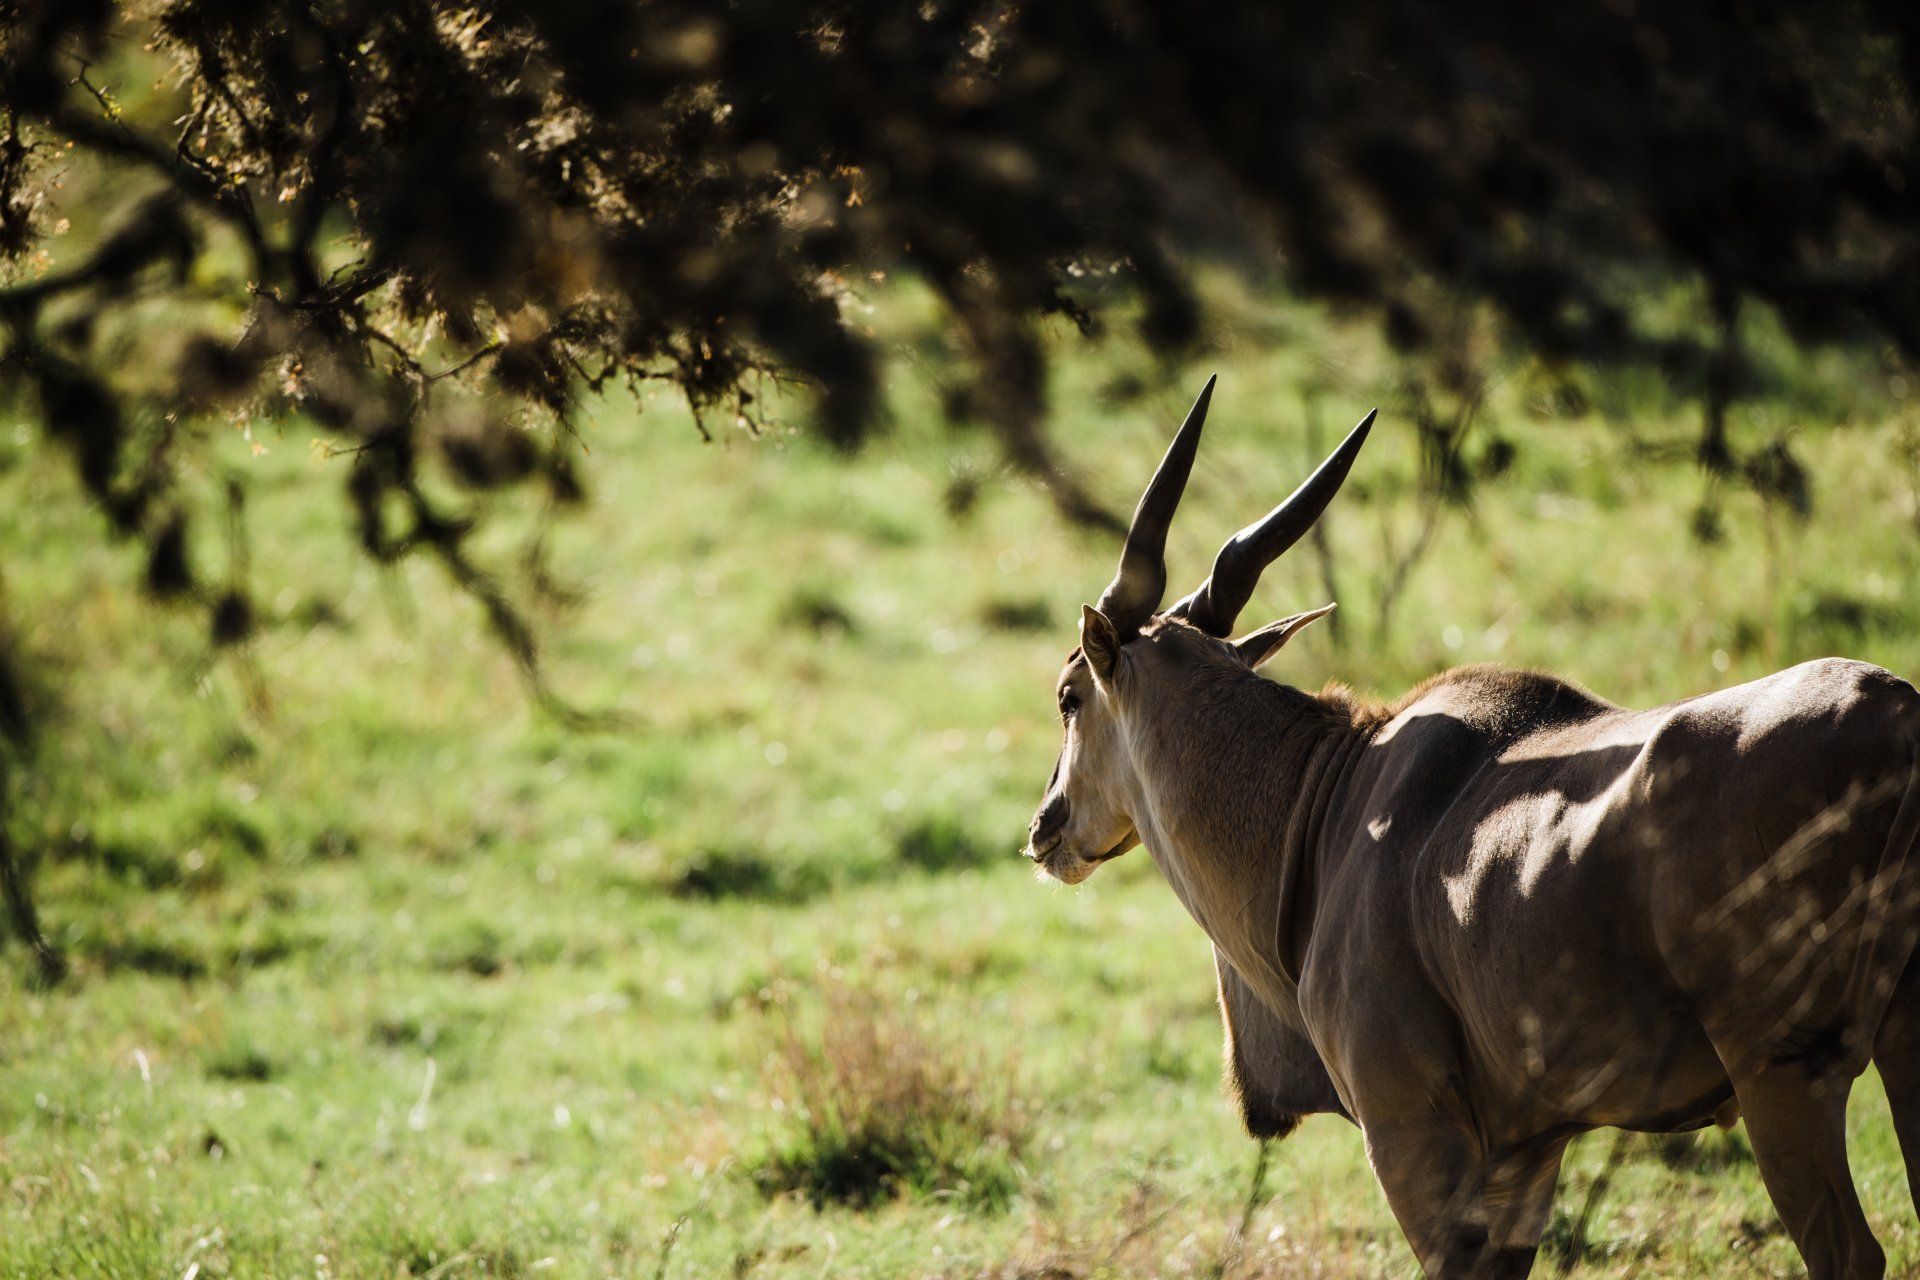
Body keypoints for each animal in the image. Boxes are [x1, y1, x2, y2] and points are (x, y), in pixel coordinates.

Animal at [1024, 378, 1920, 1279]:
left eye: (1069, 696)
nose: (1044, 828)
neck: (1325, 801)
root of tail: (1896, 717)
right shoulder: (1529, 1154)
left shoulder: (1415, 1137)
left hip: (1784, 1071)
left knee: (1850, 1253)